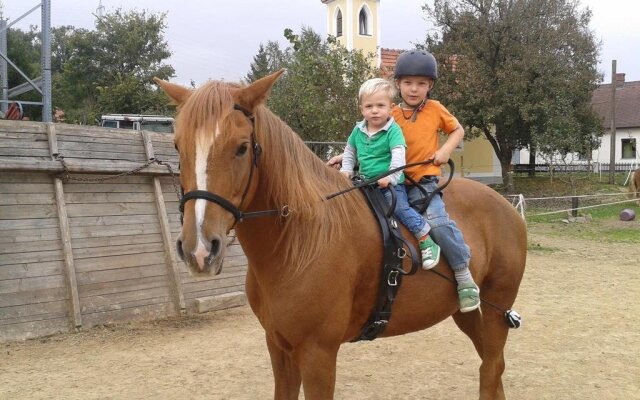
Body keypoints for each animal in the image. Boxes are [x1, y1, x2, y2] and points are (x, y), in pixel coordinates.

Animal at [155, 70, 524, 398]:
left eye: (242, 147)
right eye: (178, 146)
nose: (199, 249)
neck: (299, 242)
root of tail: (507, 208)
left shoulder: (318, 353)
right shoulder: (278, 346)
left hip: (495, 309)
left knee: (490, 370)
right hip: (466, 314)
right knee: (494, 369)